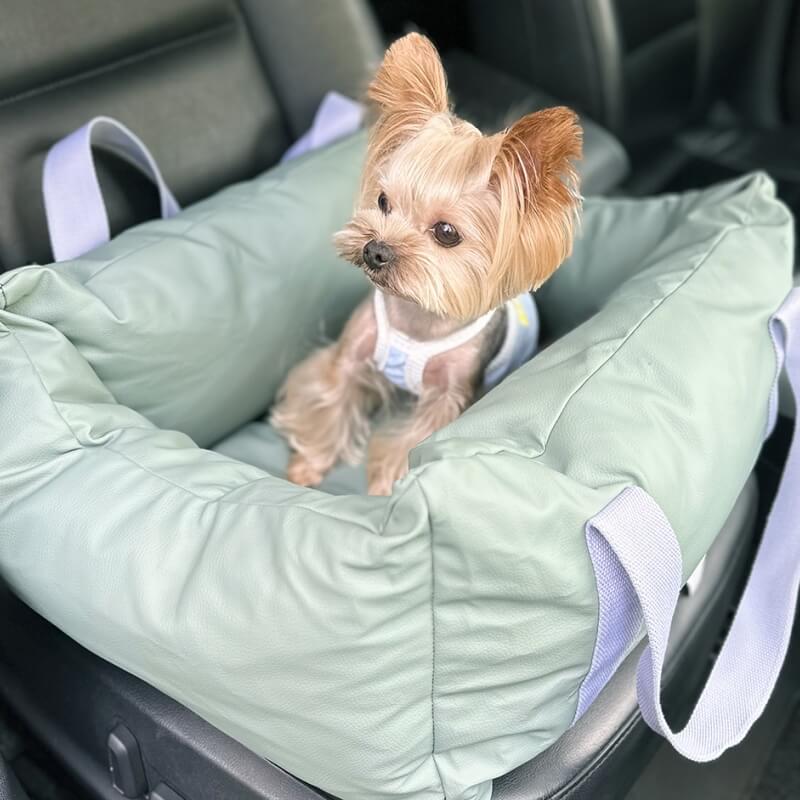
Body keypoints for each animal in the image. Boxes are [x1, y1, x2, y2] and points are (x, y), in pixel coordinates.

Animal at [270, 34, 580, 496]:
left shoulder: (449, 396)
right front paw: (309, 464)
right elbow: (331, 399)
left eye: (446, 232)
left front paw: (385, 483)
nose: (375, 250)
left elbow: (416, 437)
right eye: (383, 202)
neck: (416, 318)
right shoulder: (350, 357)